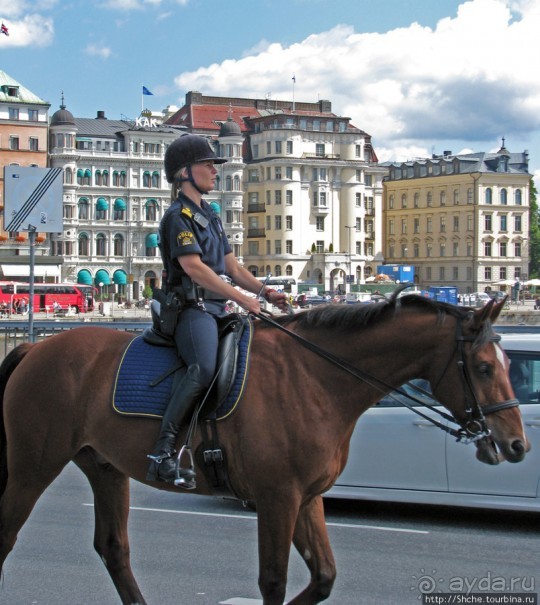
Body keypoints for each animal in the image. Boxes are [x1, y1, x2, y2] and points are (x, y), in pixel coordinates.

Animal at [0, 292, 532, 604]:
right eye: (484, 366)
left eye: (507, 363)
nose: (516, 443)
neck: (316, 377)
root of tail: (37, 347)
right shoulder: (277, 498)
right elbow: (273, 581)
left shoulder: (306, 498)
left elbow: (323, 577)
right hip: (32, 466)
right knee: (8, 535)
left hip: (105, 467)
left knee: (114, 549)